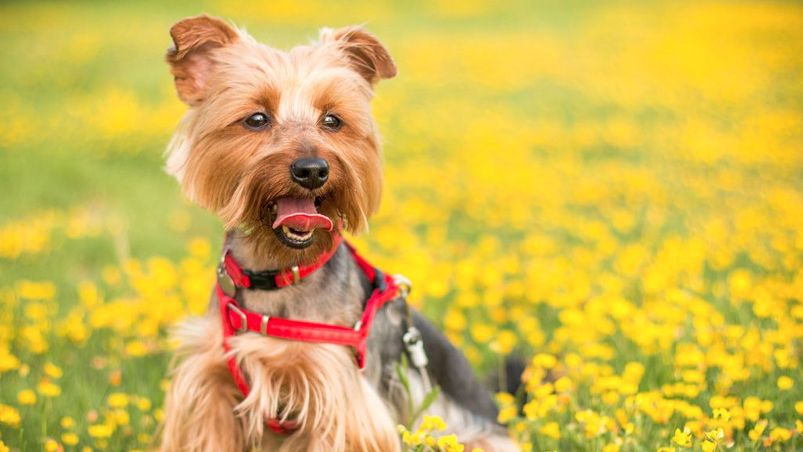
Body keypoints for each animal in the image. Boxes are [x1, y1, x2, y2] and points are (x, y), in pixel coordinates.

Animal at [160, 15, 520, 452]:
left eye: (332, 120)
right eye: (256, 118)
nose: (313, 169)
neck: (278, 273)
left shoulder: (337, 392)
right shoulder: (210, 385)